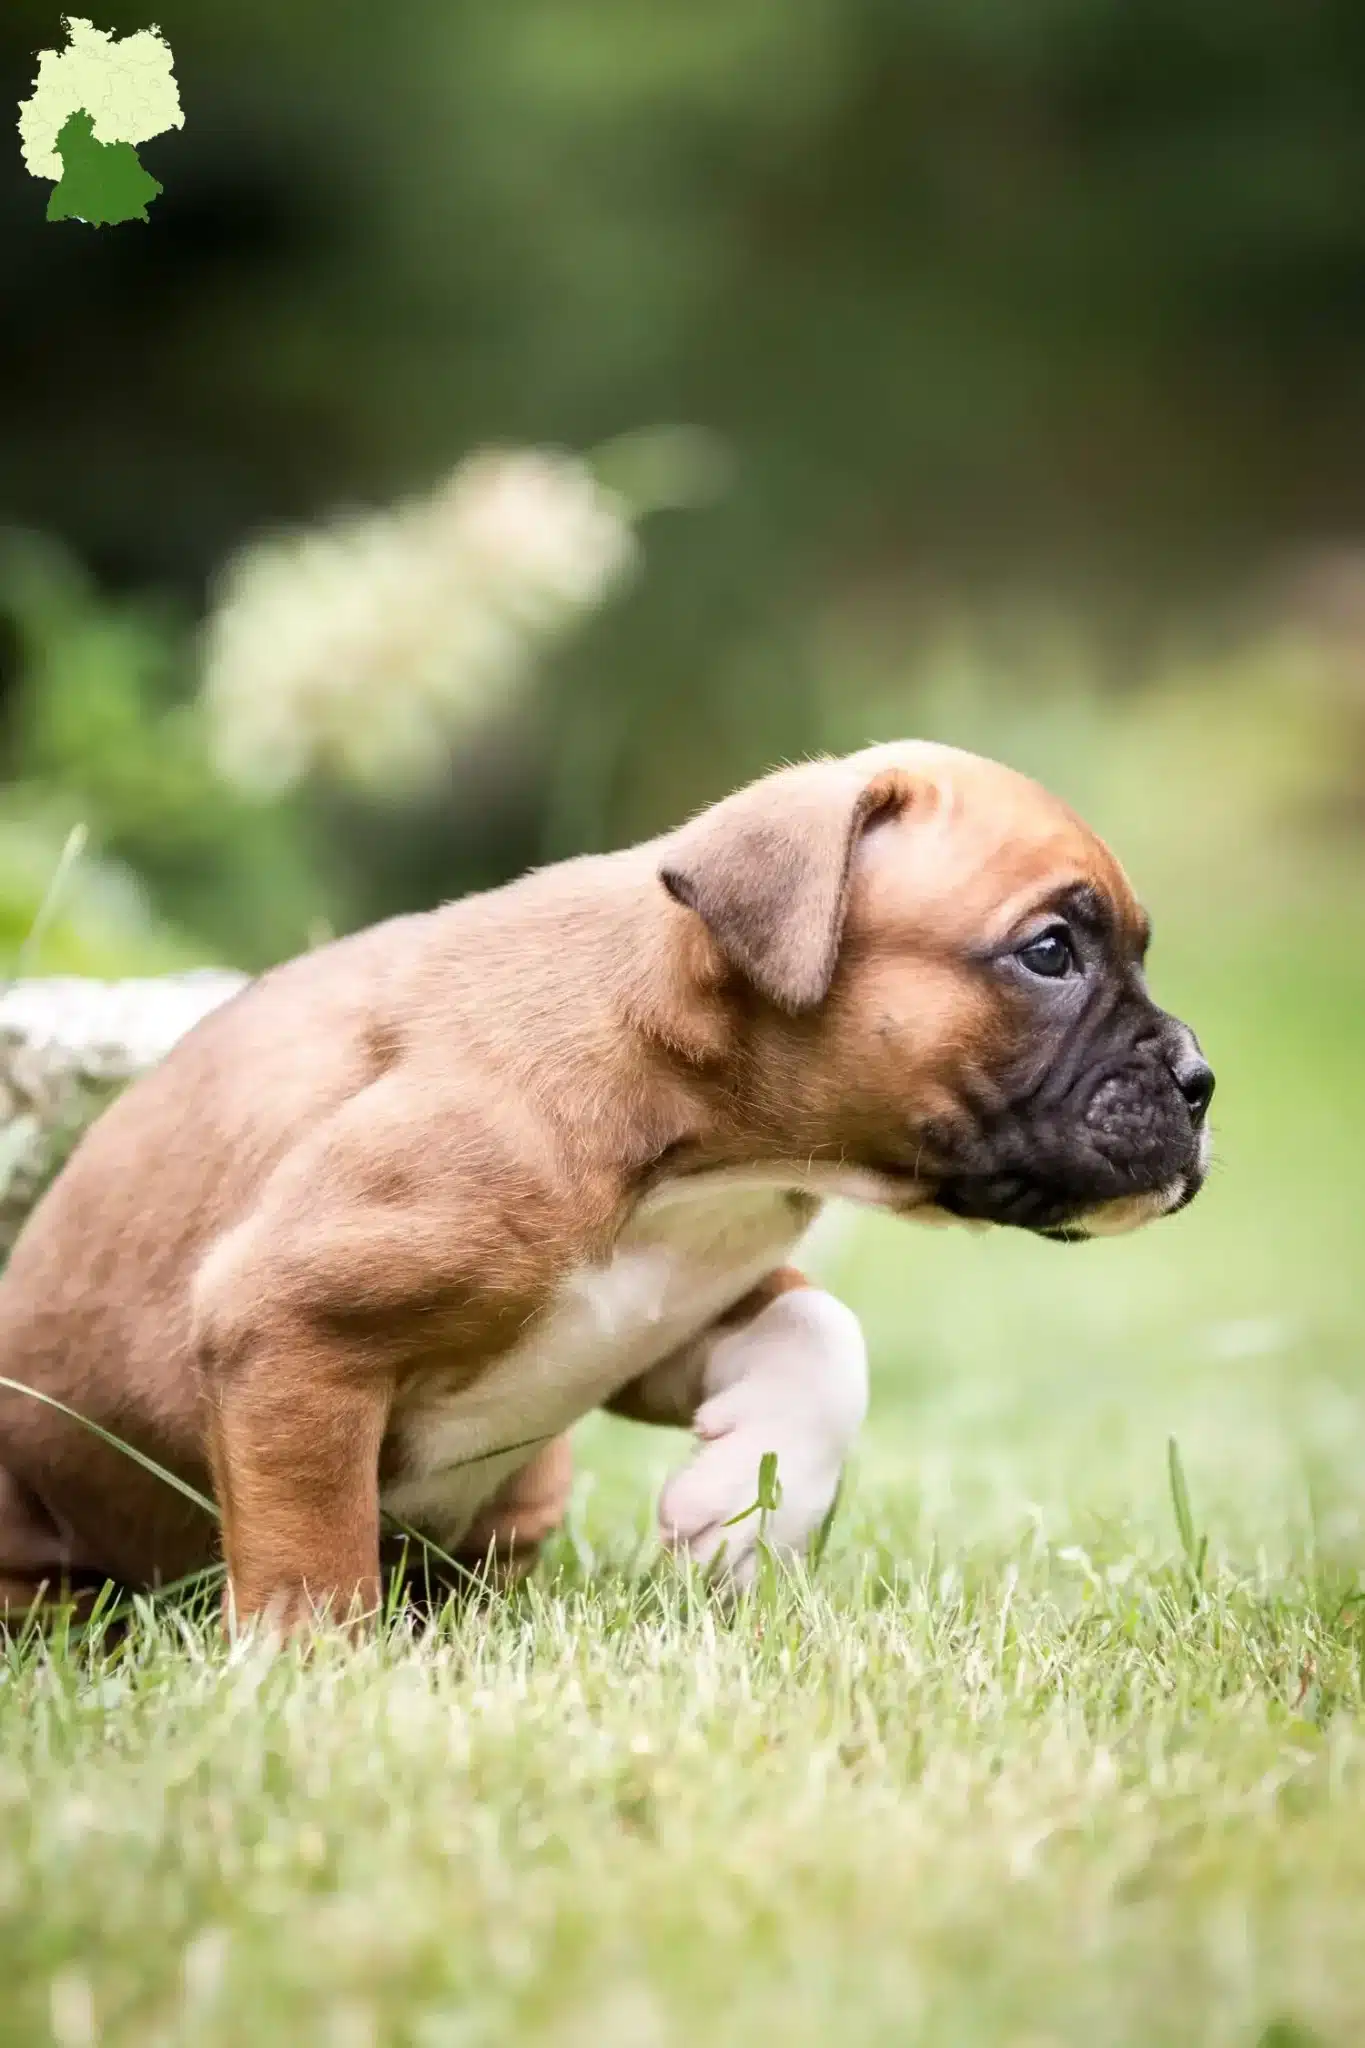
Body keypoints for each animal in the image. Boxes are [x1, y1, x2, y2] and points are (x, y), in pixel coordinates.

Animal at [0, 745, 1219, 1622]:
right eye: (1049, 951)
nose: (1202, 1081)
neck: (690, 1133)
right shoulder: (285, 1323)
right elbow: (310, 1546)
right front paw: (319, 1679)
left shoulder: (653, 1317)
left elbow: (823, 1335)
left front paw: (744, 1517)